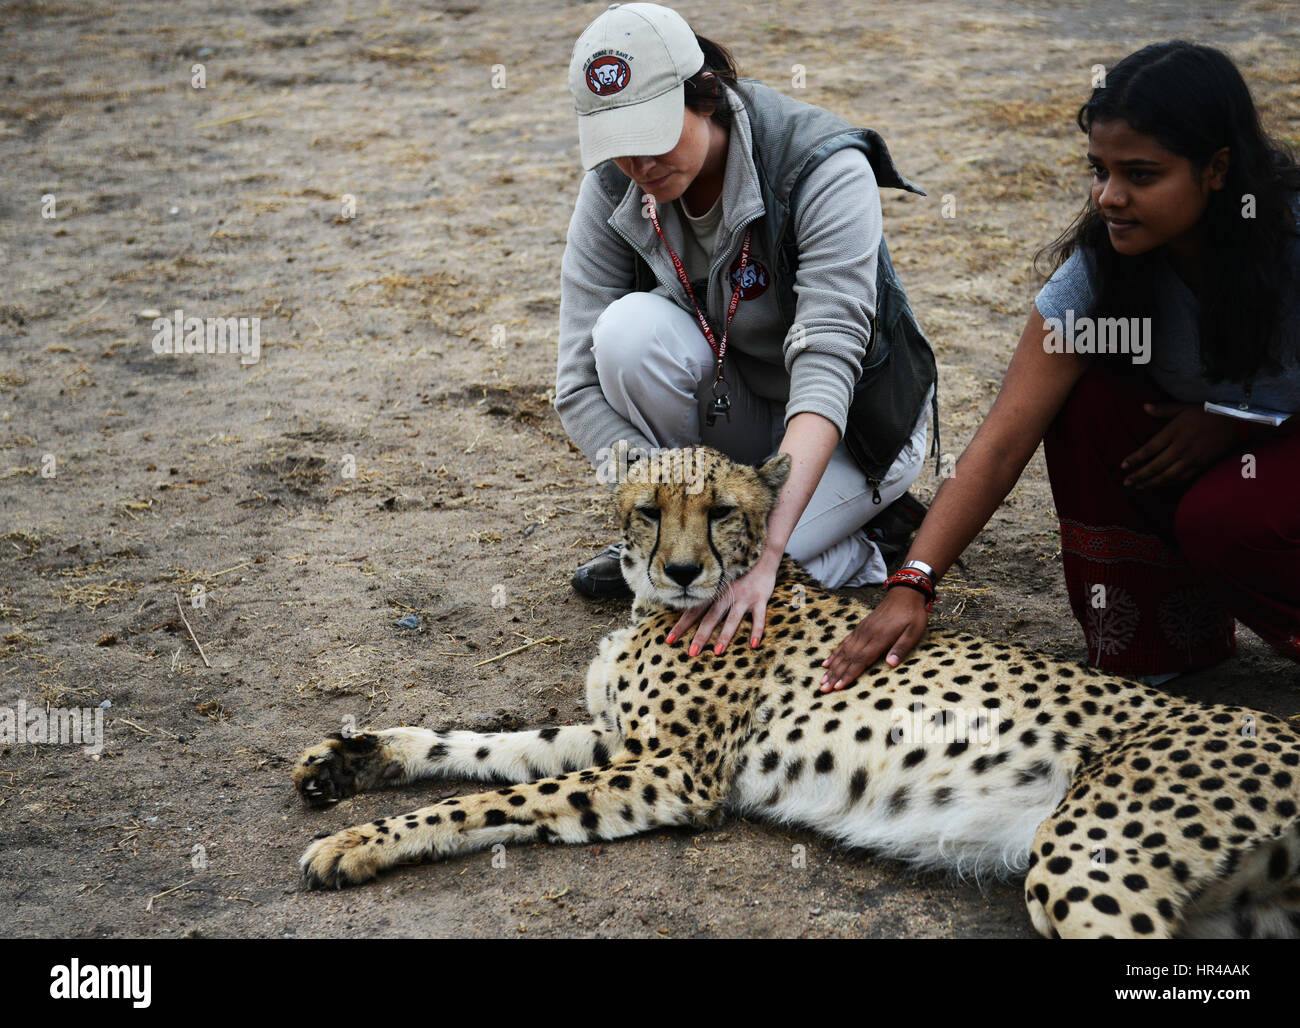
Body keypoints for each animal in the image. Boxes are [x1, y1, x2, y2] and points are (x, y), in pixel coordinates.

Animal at [295, 447, 1300, 935]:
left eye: (722, 512)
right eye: (649, 512)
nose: (687, 571)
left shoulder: (672, 775)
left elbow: (483, 800)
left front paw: (354, 843)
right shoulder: (619, 742)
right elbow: (479, 750)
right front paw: (350, 761)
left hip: (1087, 861)